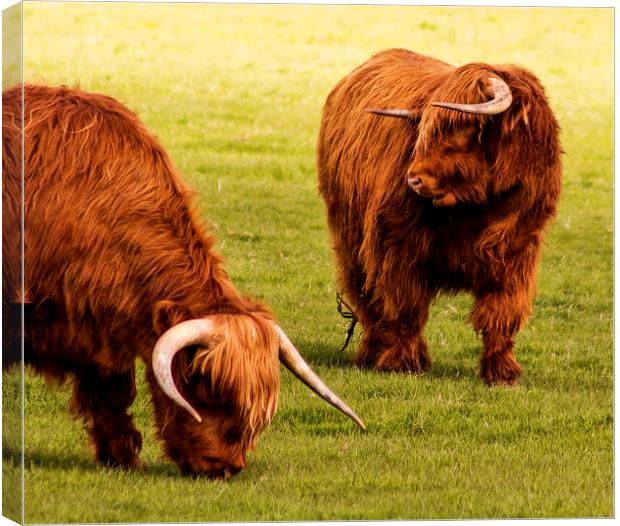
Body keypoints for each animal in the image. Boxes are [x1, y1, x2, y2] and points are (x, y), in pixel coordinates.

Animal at [318, 49, 564, 386]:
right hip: (352, 240)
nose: (414, 179)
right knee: (366, 297)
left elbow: (502, 311)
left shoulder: (517, 250)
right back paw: (371, 354)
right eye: (425, 130)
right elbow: (405, 306)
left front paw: (502, 372)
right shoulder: (396, 246)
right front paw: (401, 363)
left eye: (464, 127)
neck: (475, 208)